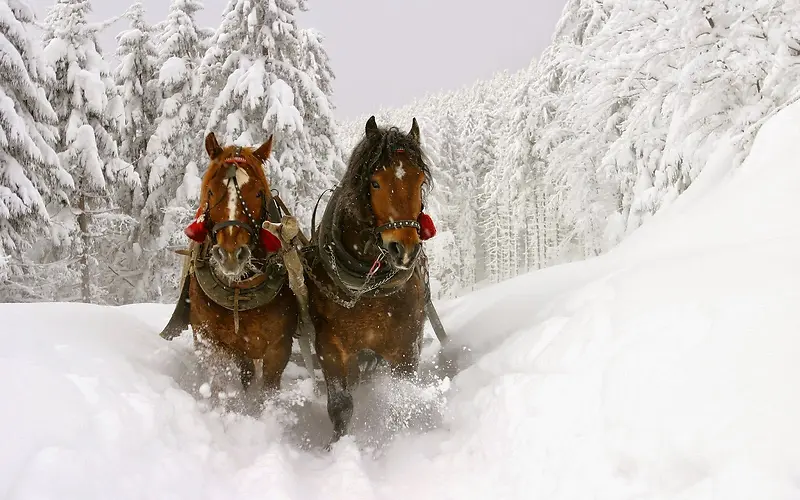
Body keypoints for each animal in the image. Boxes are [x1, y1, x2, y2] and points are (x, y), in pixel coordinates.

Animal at [166, 132, 300, 398]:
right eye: (210, 191)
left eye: (258, 193)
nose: (230, 254)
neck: (239, 290)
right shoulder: (210, 340)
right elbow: (218, 385)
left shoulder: (279, 348)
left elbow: (267, 393)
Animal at [304, 115, 438, 444]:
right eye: (375, 182)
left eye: (420, 181)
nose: (404, 249)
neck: (368, 288)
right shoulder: (329, 345)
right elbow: (341, 406)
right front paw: (336, 447)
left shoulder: (406, 347)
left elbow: (401, 400)